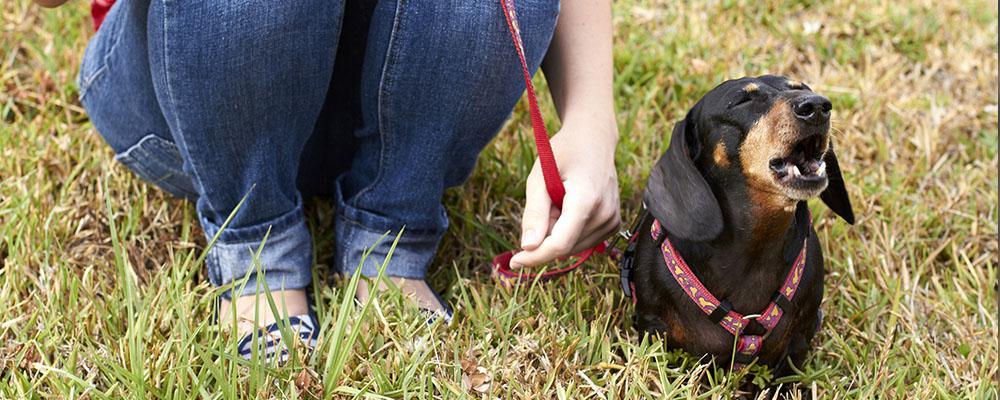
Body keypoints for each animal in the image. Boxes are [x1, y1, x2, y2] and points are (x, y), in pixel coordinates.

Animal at [628, 74, 856, 376]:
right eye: (741, 101)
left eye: (801, 88)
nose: (818, 105)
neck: (755, 243)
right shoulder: (654, 329)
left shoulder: (799, 340)